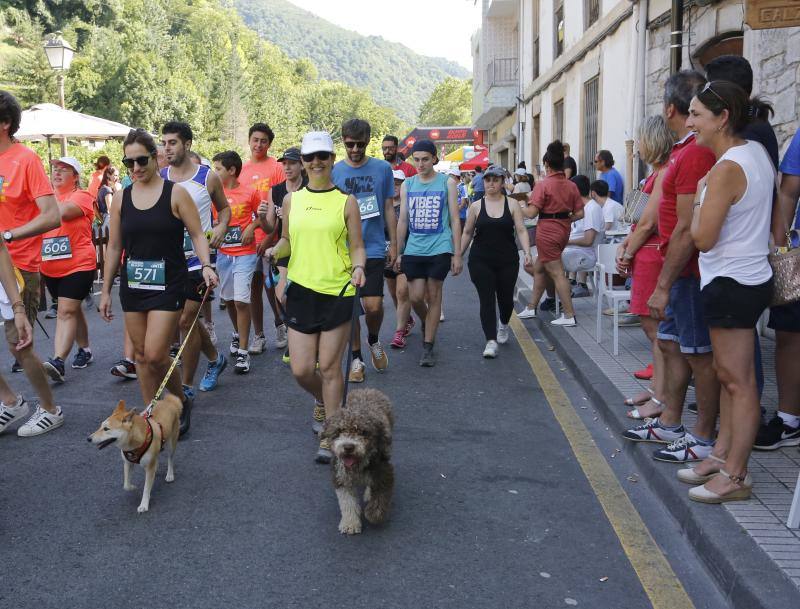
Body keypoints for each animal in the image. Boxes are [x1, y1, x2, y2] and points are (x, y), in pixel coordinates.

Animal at [320, 388, 392, 536]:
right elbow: (347, 502)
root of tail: (367, 389)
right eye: (339, 430)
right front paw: (350, 524)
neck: (357, 465)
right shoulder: (341, 477)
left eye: (363, 432)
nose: (348, 447)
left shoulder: (383, 471)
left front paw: (373, 514)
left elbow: (380, 496)